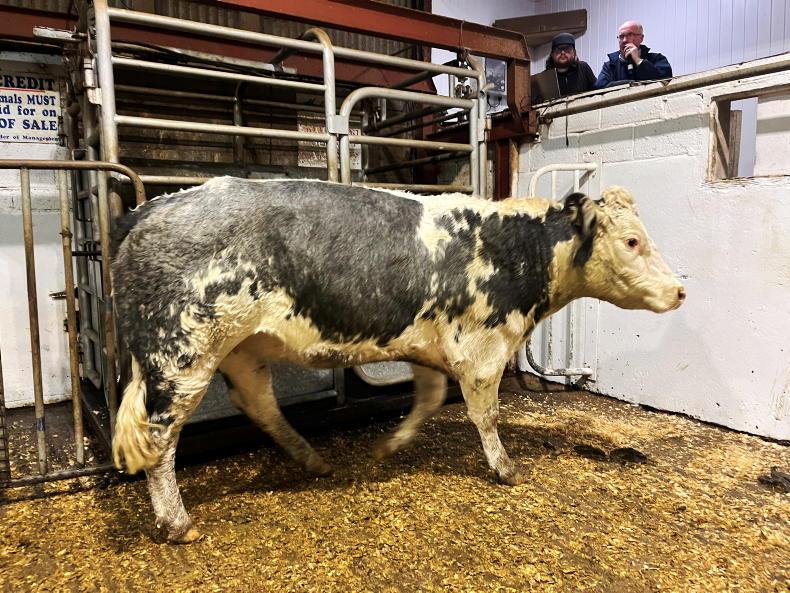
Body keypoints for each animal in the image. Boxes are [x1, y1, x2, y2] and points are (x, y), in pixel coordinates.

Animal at [110, 177, 685, 543]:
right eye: (632, 240)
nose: (680, 290)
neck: (517, 247)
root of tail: (152, 208)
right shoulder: (482, 346)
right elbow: (486, 413)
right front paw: (505, 468)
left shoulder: (429, 348)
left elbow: (429, 400)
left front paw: (391, 445)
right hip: (183, 355)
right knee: (160, 438)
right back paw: (178, 524)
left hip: (241, 349)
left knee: (256, 402)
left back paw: (310, 458)